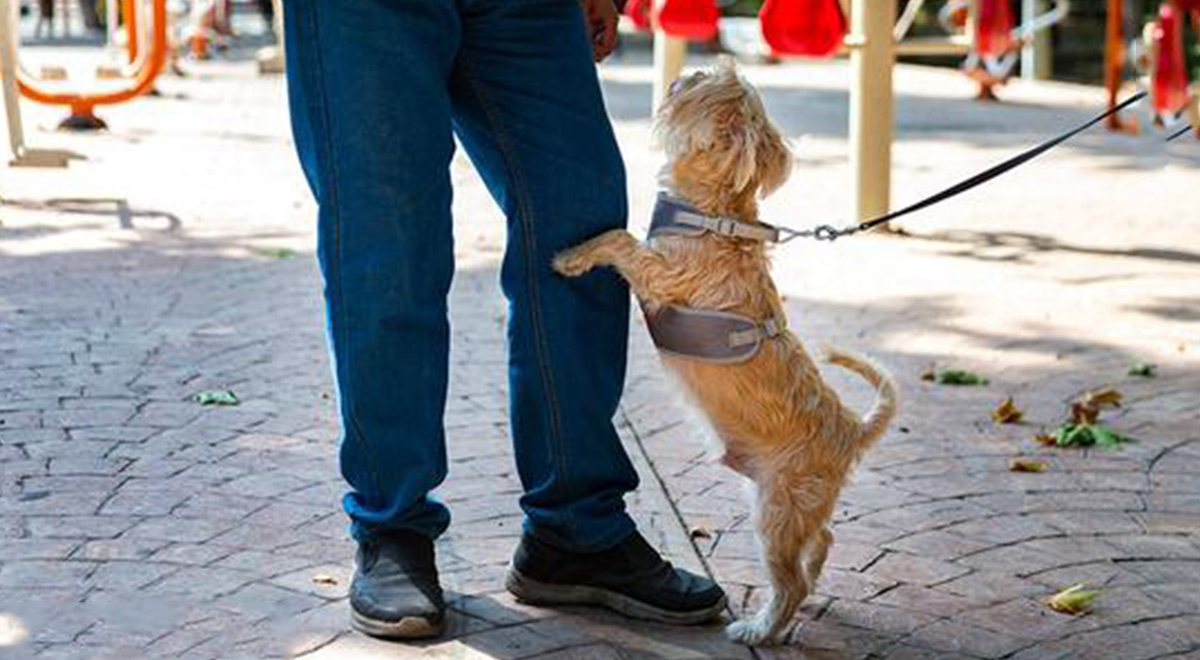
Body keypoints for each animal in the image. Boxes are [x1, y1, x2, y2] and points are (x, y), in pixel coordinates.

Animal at [552, 62, 902, 648]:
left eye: (707, 79)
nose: (687, 70)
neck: (713, 216)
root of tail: (853, 431)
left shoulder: (660, 275)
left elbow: (617, 238)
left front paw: (572, 255)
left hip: (776, 513)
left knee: (790, 583)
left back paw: (761, 629)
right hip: (793, 508)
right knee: (823, 542)